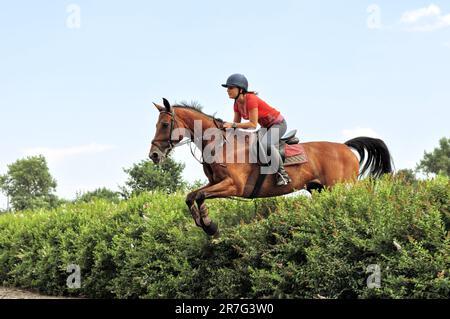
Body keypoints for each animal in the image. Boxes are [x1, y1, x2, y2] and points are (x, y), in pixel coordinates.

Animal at [149, 99, 394, 238]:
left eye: (164, 124)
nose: (153, 155)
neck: (220, 144)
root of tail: (345, 147)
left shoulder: (233, 186)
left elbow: (199, 195)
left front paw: (209, 225)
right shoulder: (215, 182)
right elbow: (191, 196)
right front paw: (207, 225)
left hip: (341, 187)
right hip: (319, 189)